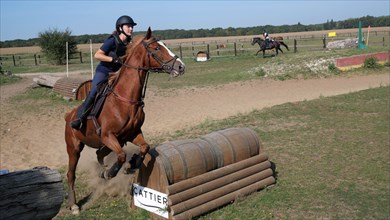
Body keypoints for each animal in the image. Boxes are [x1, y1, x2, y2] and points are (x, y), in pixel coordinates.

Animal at [64, 26, 186, 214]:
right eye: (156, 48)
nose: (181, 66)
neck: (126, 98)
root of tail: (68, 115)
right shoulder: (108, 135)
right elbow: (121, 155)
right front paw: (112, 172)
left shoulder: (131, 133)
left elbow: (144, 147)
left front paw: (132, 164)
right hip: (74, 148)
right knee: (71, 174)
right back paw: (74, 204)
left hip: (107, 143)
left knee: (99, 154)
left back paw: (103, 171)